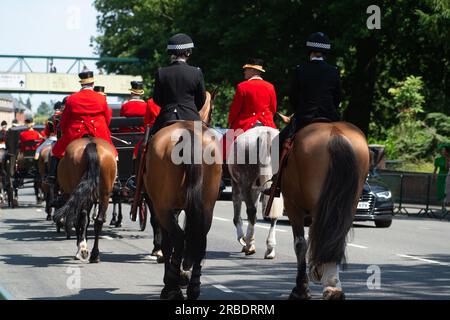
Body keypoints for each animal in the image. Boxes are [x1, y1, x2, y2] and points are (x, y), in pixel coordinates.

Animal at [143, 92, 222, 300]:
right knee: (199, 240)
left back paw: (172, 287)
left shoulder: (162, 207)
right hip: (207, 208)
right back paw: (193, 287)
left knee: (176, 239)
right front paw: (184, 273)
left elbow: (167, 242)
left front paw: (174, 277)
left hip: (162, 207)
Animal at [230, 126, 284, 258]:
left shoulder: (237, 186)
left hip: (244, 185)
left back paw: (249, 245)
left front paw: (243, 239)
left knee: (251, 212)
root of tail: (265, 133)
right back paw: (270, 248)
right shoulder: (255, 190)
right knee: (273, 215)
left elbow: (237, 217)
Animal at [282, 120, 370, 300]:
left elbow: (300, 243)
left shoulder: (292, 205)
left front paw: (301, 288)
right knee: (335, 238)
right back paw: (333, 286)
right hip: (348, 205)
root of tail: (335, 133)